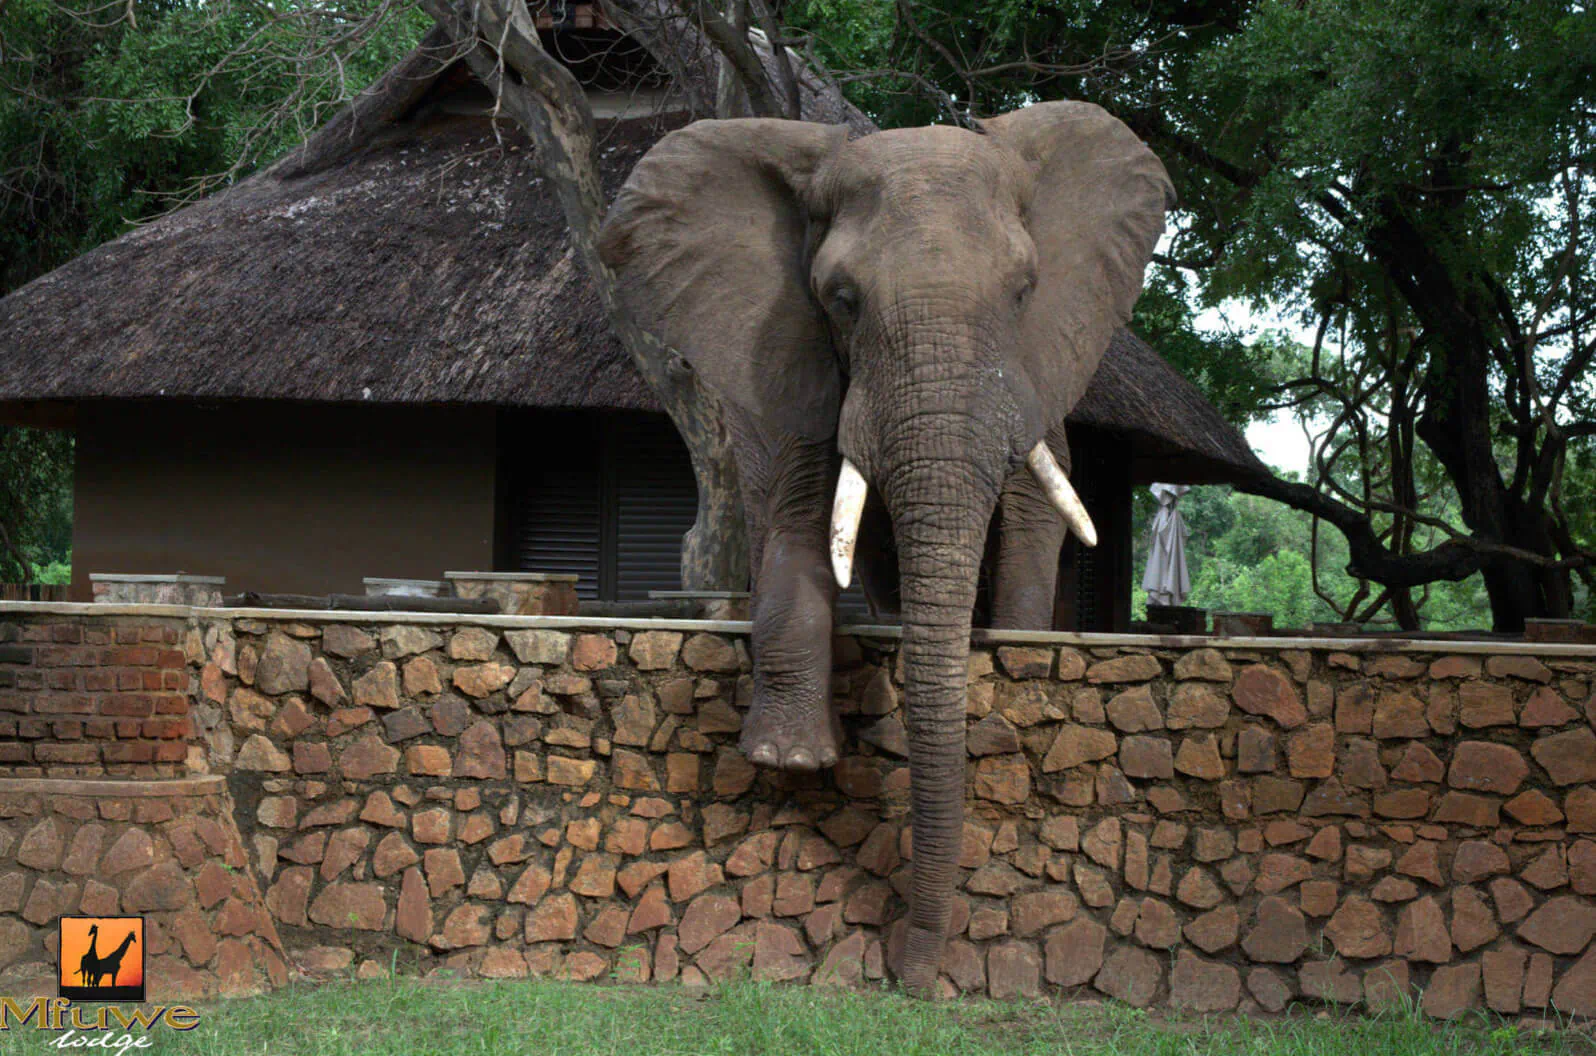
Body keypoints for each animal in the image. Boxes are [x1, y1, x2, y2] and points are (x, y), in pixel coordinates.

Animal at [597, 102, 1172, 995]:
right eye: (842, 300)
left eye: (1024, 291)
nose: (912, 980)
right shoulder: (781, 350)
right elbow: (798, 515)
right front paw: (791, 759)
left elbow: (1031, 514)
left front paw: (1011, 653)